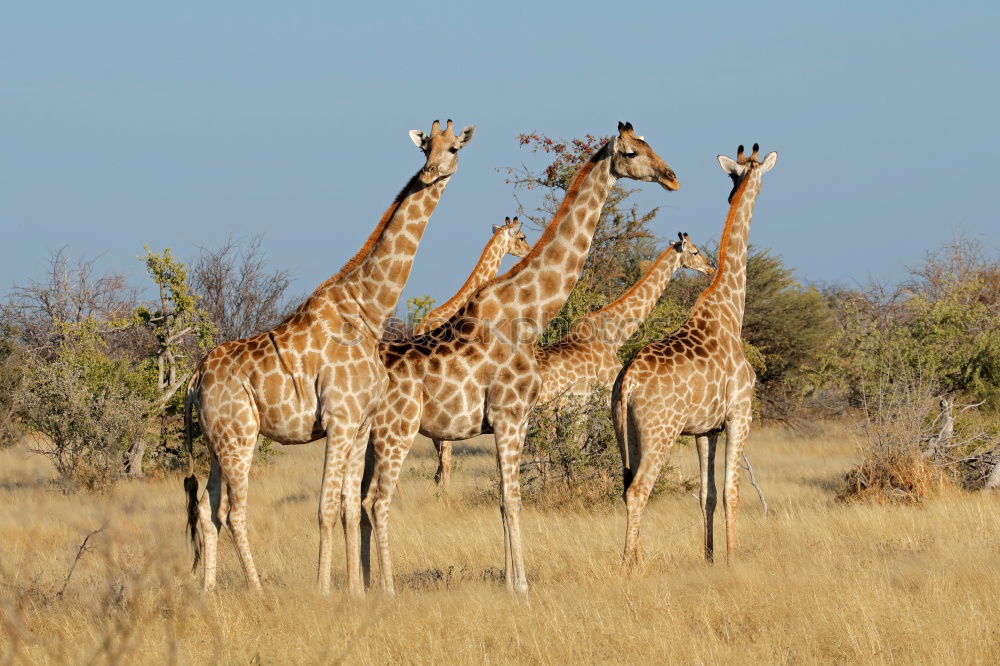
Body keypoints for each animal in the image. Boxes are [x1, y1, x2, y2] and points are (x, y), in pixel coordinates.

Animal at [184, 118, 476, 592]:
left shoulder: (360, 425)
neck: (368, 311)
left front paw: (356, 591)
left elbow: (349, 507)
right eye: (425, 148)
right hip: (239, 435)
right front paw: (324, 590)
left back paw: (208, 594)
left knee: (208, 512)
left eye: (453, 148)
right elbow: (324, 508)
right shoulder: (338, 419)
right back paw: (257, 591)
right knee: (232, 512)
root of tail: (193, 381)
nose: (431, 173)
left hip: (214, 441)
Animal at [608, 143, 780, 568]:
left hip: (625, 431)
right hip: (660, 432)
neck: (730, 310)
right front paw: (733, 559)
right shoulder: (739, 415)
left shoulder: (706, 429)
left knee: (625, 485)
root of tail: (628, 381)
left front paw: (710, 557)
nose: (736, 192)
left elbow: (708, 495)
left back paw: (635, 559)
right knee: (638, 489)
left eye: (735, 175)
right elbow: (733, 492)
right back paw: (629, 566)